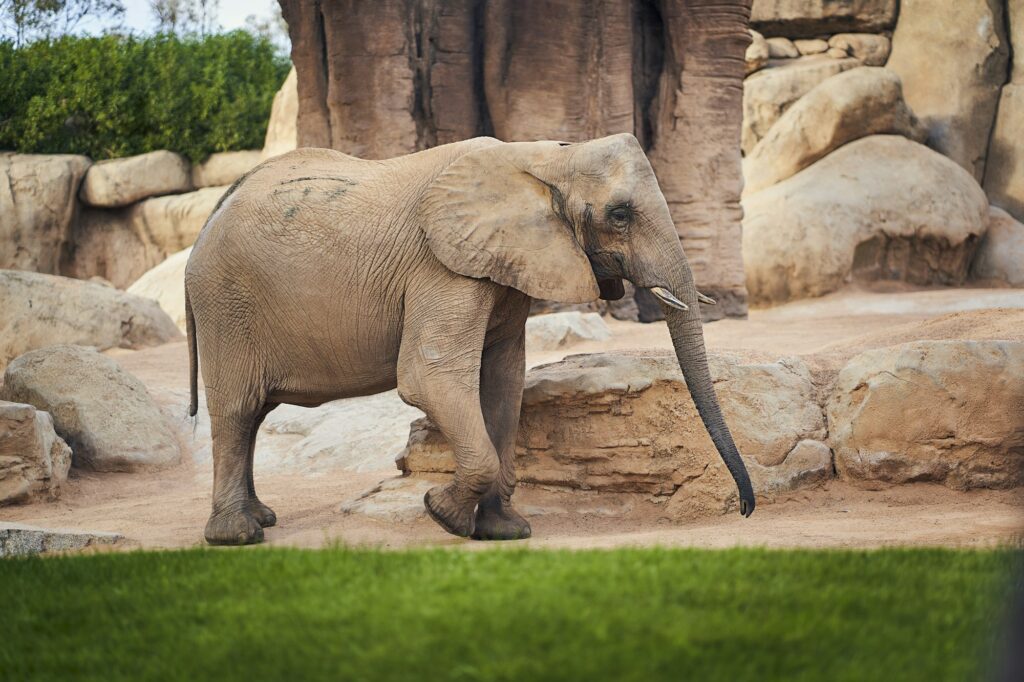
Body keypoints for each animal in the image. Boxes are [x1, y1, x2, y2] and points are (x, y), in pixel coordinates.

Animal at [184, 134, 757, 548]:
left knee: (253, 415)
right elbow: (427, 376)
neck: (544, 157)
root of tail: (208, 219)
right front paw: (442, 515)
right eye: (620, 215)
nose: (746, 509)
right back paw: (238, 536)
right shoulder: (443, 265)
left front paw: (506, 533)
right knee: (237, 410)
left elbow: (502, 383)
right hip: (225, 304)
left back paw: (262, 518)